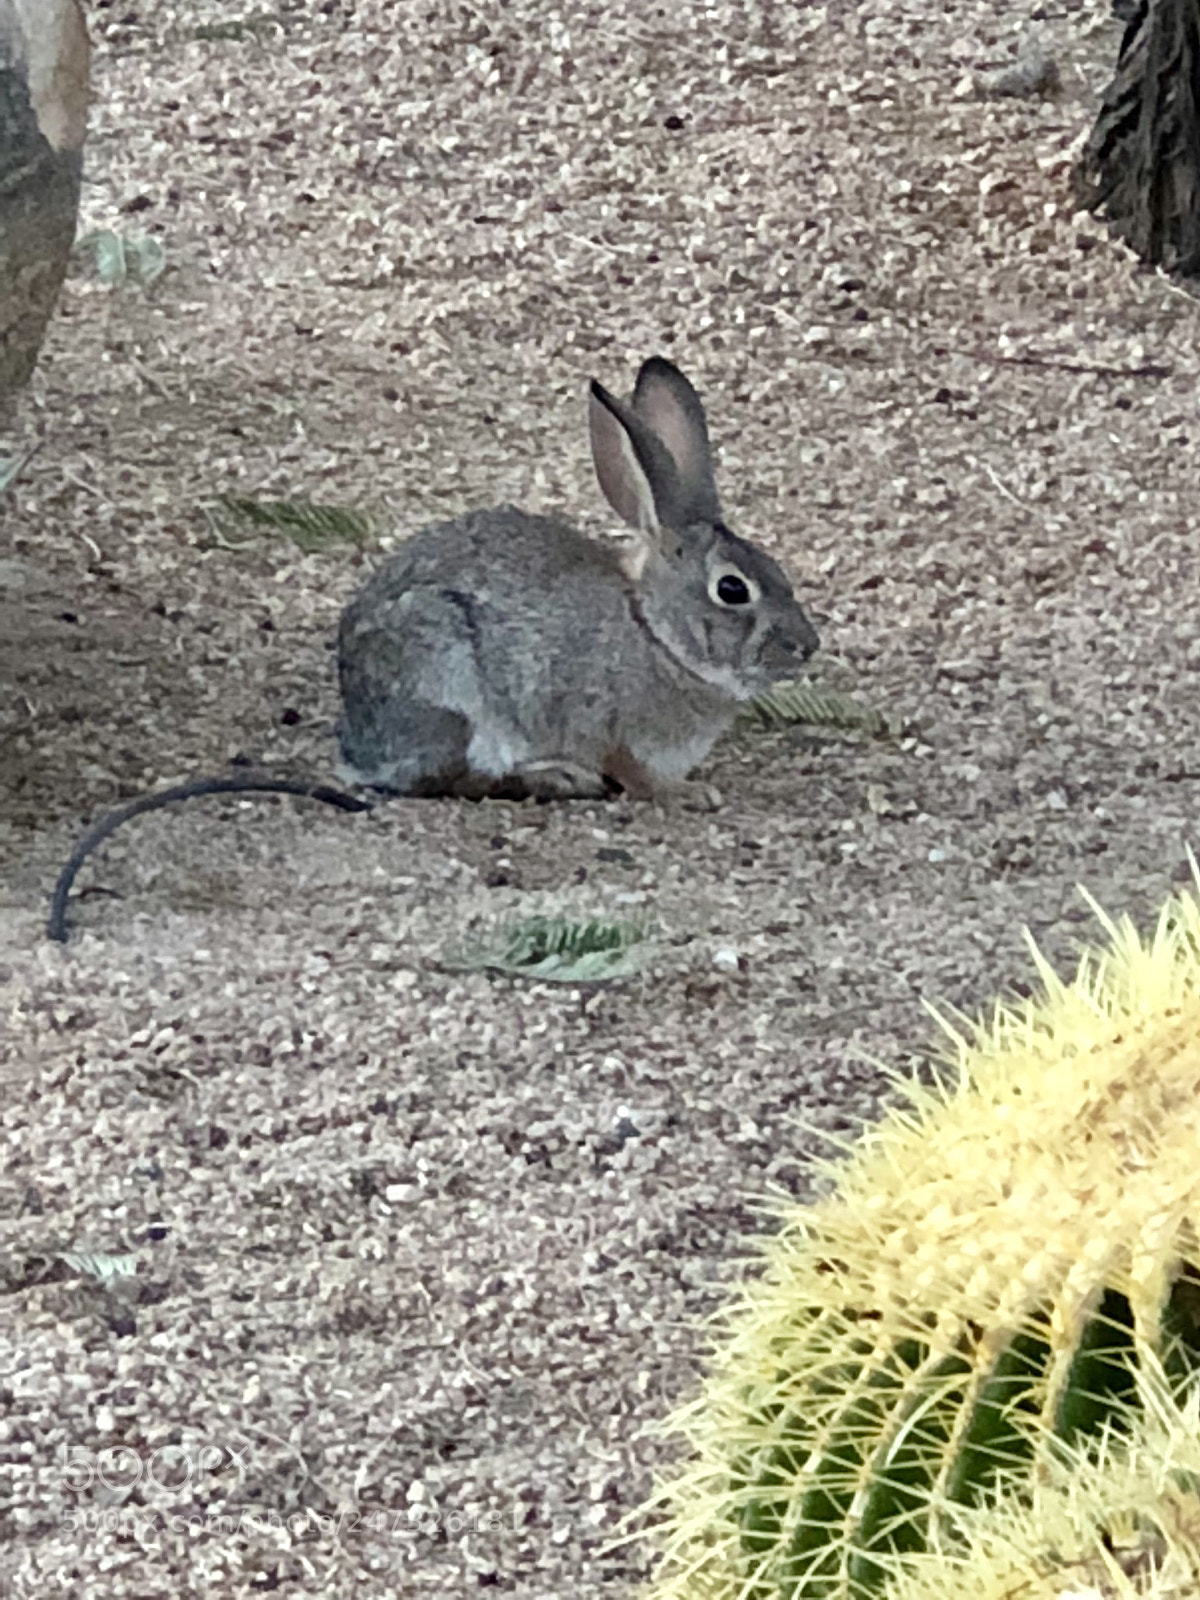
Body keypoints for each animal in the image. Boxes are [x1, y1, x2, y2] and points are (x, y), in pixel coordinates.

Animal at [47, 357, 818, 942]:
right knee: (450, 779)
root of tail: (358, 742)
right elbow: (633, 770)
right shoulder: (607, 723)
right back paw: (550, 780)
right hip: (448, 679)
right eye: (732, 590)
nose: (807, 647)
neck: (655, 632)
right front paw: (689, 795)